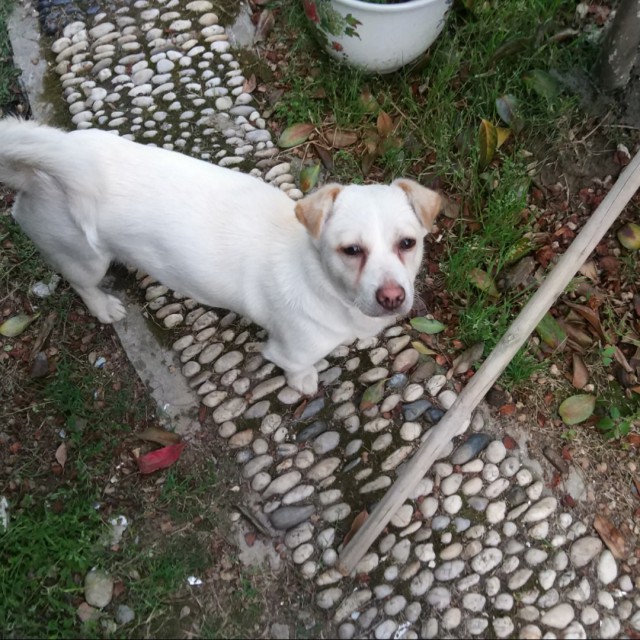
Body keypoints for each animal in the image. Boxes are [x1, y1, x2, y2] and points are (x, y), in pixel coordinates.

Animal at [0, 118, 441, 395]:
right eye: (351, 250)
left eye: (407, 243)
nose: (393, 297)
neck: (320, 279)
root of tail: (44, 169)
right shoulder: (288, 350)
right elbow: (298, 368)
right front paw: (304, 382)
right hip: (84, 258)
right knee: (81, 283)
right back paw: (103, 306)